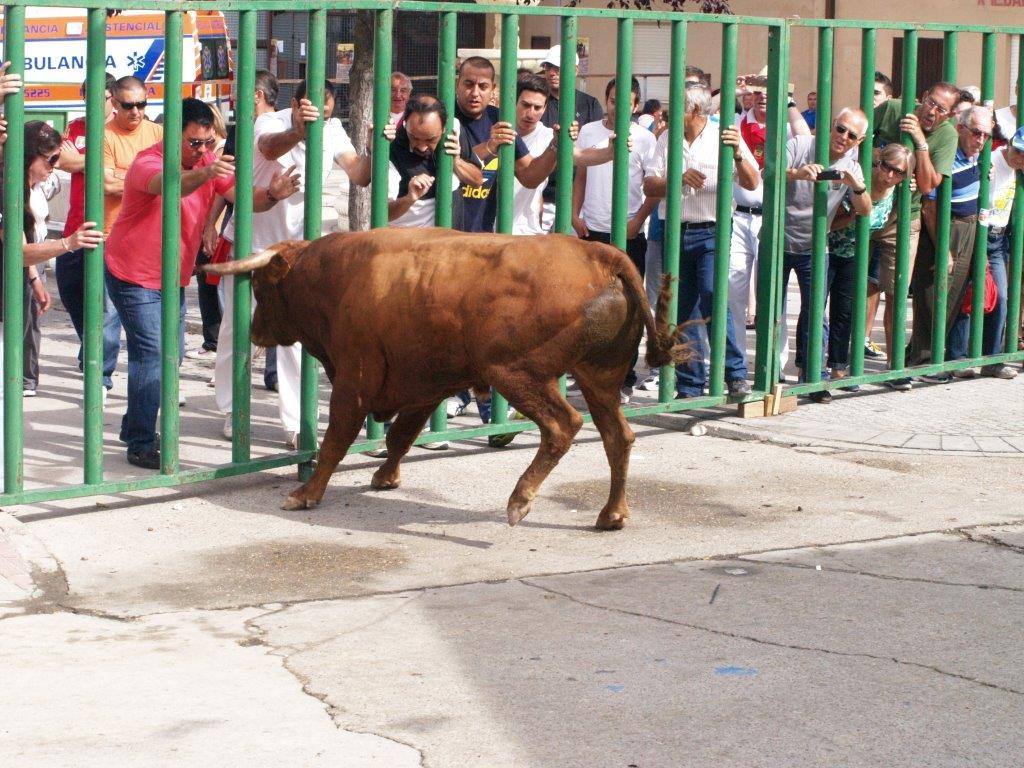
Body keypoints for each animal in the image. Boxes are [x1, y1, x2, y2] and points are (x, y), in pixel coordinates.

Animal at [204, 228, 688, 528]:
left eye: (262, 287)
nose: (255, 331)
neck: (337, 275)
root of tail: (600, 254)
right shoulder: (423, 385)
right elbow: (400, 435)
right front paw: (385, 477)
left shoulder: (354, 379)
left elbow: (337, 439)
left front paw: (306, 493)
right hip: (599, 378)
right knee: (618, 437)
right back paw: (612, 514)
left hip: (515, 372)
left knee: (562, 425)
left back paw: (520, 500)